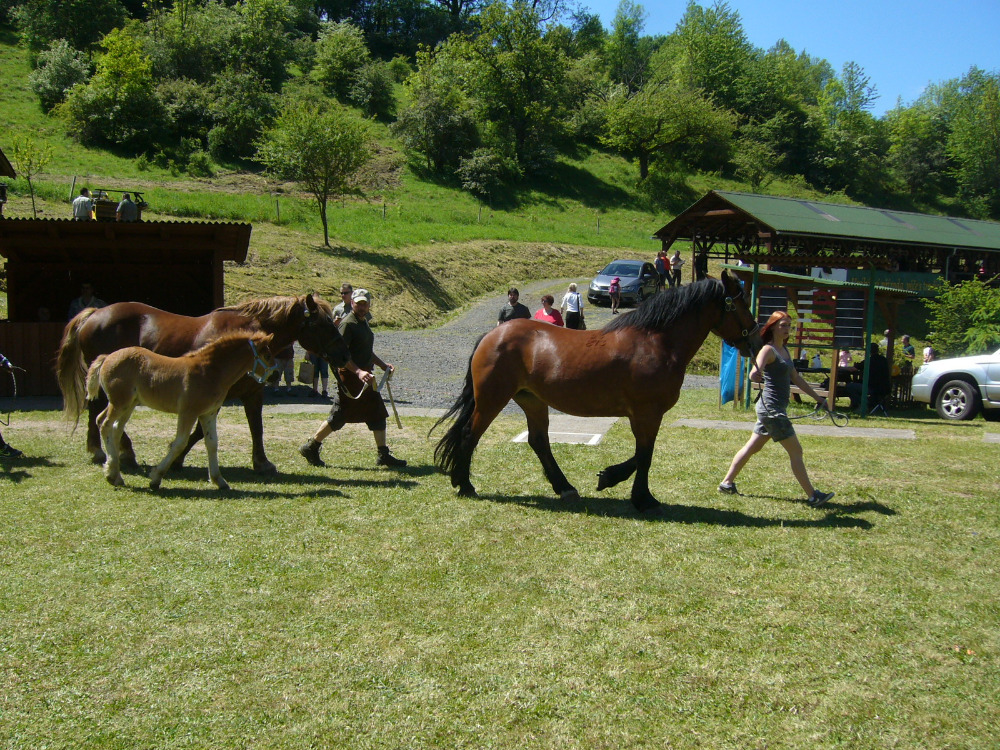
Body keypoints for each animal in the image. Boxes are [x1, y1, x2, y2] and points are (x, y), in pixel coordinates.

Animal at [58, 292, 350, 472]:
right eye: (323, 324)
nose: (343, 353)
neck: (247, 339)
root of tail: (95, 313)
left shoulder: (252, 393)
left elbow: (256, 428)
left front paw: (262, 463)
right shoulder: (213, 396)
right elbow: (198, 431)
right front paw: (176, 459)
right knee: (99, 411)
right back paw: (117, 451)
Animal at [434, 272, 760, 516]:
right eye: (741, 302)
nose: (756, 336)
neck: (656, 342)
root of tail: (492, 335)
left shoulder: (643, 415)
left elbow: (641, 454)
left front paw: (610, 478)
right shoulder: (646, 413)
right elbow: (645, 455)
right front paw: (642, 498)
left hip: (532, 401)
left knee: (538, 441)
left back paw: (564, 488)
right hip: (493, 399)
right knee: (470, 435)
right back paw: (465, 485)